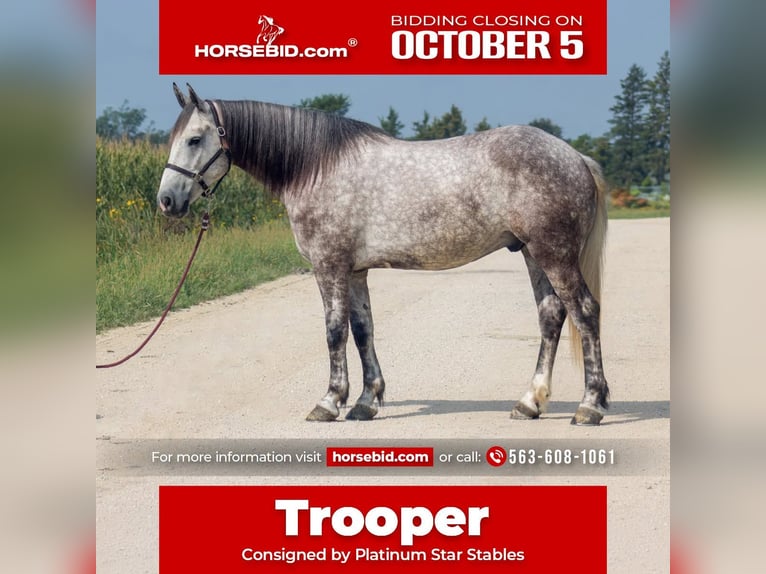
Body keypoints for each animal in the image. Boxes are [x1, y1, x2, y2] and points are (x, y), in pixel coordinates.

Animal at [158, 83, 610, 425]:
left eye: (195, 139)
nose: (166, 201)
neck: (316, 168)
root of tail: (576, 157)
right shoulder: (355, 271)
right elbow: (363, 331)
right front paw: (364, 403)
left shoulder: (329, 267)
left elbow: (334, 332)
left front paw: (328, 402)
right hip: (533, 253)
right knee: (551, 316)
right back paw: (530, 402)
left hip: (554, 253)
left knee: (585, 312)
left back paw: (589, 406)